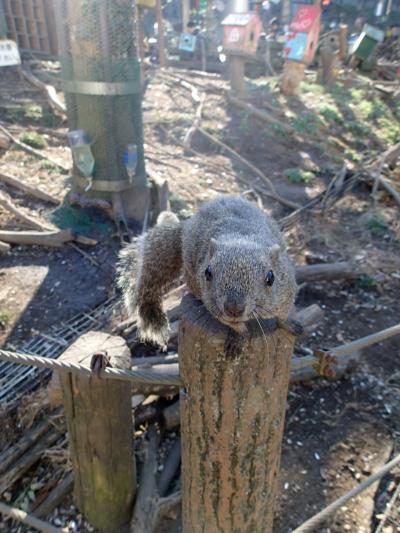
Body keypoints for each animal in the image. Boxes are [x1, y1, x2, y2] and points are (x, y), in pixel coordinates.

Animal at [117, 194, 302, 354]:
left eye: (270, 278)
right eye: (208, 273)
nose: (233, 308)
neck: (242, 239)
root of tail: (187, 225)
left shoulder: (286, 291)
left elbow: (283, 315)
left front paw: (289, 325)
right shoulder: (213, 304)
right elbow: (234, 326)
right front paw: (239, 337)